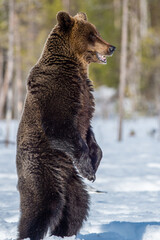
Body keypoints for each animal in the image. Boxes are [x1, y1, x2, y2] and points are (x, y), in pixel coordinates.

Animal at [16, 11, 115, 240]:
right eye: (92, 35)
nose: (111, 47)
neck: (74, 66)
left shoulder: (85, 96)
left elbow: (89, 132)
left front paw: (94, 163)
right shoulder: (57, 92)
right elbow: (60, 127)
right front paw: (88, 169)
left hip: (70, 181)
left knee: (76, 206)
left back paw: (64, 232)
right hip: (41, 167)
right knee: (42, 203)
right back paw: (28, 233)